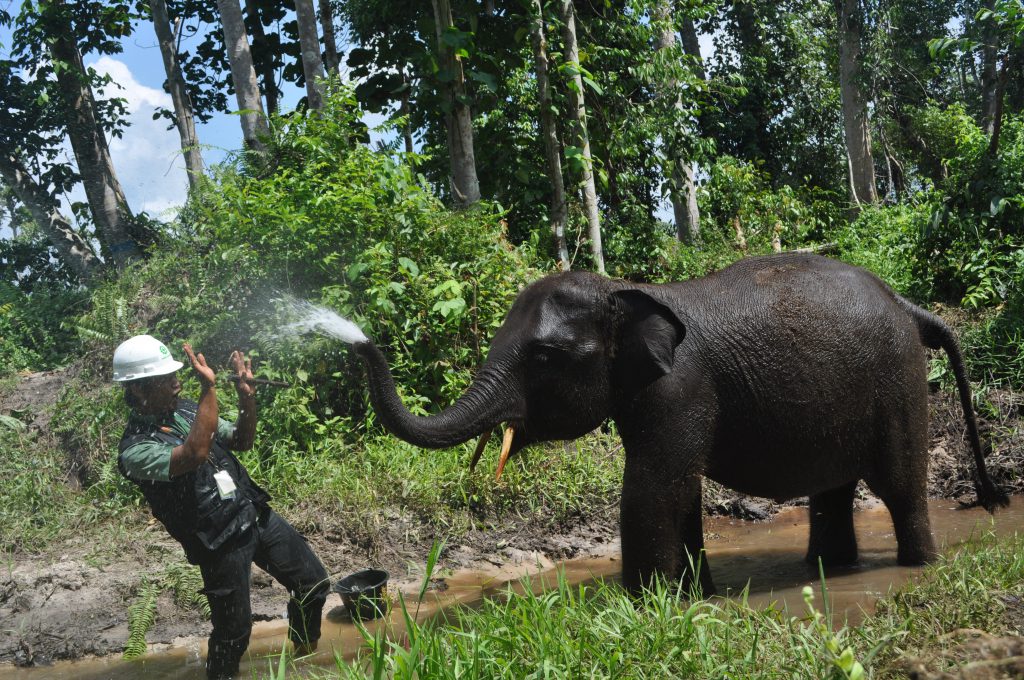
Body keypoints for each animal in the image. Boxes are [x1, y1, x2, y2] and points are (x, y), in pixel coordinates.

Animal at [352, 251, 1007, 593]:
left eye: (544, 357)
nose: (357, 341)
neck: (626, 289)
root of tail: (907, 305)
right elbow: (678, 489)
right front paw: (694, 597)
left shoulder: (679, 389)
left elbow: (654, 486)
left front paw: (643, 606)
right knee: (834, 490)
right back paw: (828, 570)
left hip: (897, 380)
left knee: (898, 482)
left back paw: (917, 567)